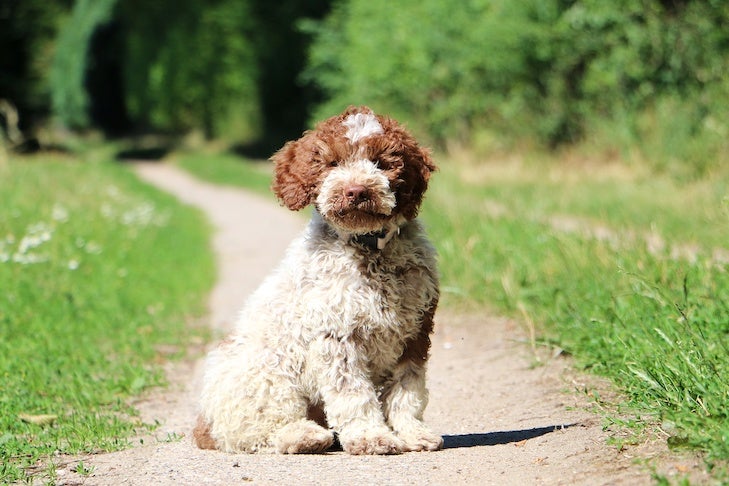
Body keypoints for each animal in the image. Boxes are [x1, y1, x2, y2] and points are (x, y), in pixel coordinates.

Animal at [192, 106, 438, 456]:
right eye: (332, 163)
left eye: (380, 162)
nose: (357, 191)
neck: (368, 249)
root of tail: (204, 423)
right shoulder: (337, 336)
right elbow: (353, 395)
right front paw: (370, 436)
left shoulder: (416, 332)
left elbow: (408, 391)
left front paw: (412, 433)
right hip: (268, 373)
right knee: (256, 432)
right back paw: (304, 436)